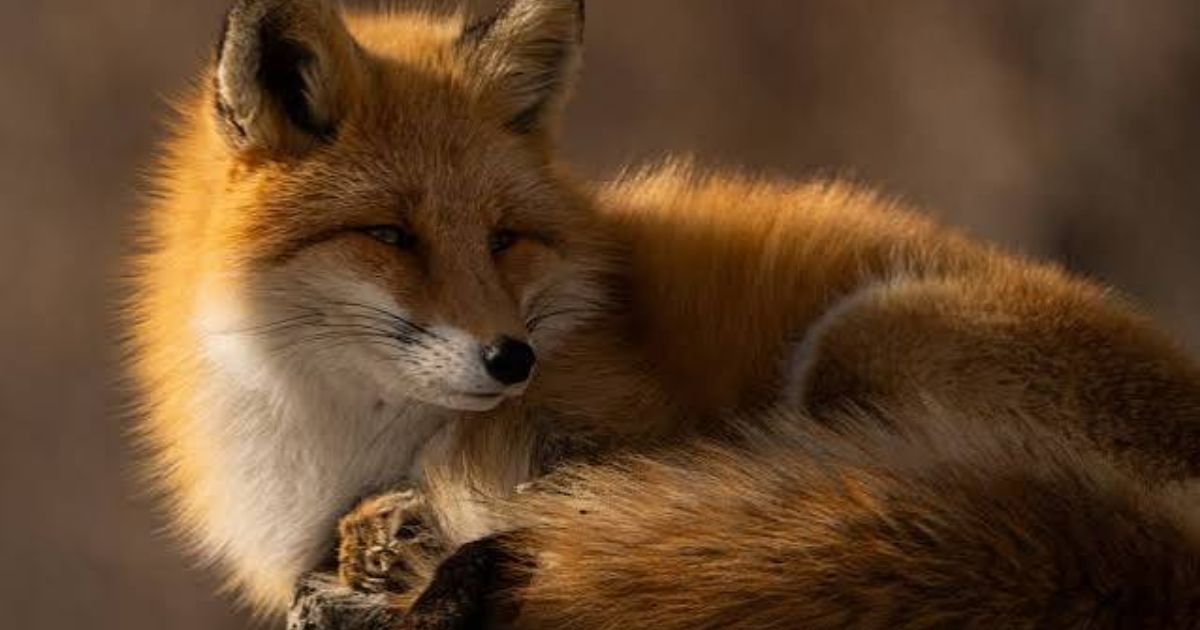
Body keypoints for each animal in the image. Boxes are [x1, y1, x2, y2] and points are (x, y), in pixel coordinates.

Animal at [126, 0, 1200, 626]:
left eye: (506, 238)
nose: (512, 360)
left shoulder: (621, 433)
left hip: (862, 340)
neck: (342, 445)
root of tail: (1166, 543)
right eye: (391, 235)